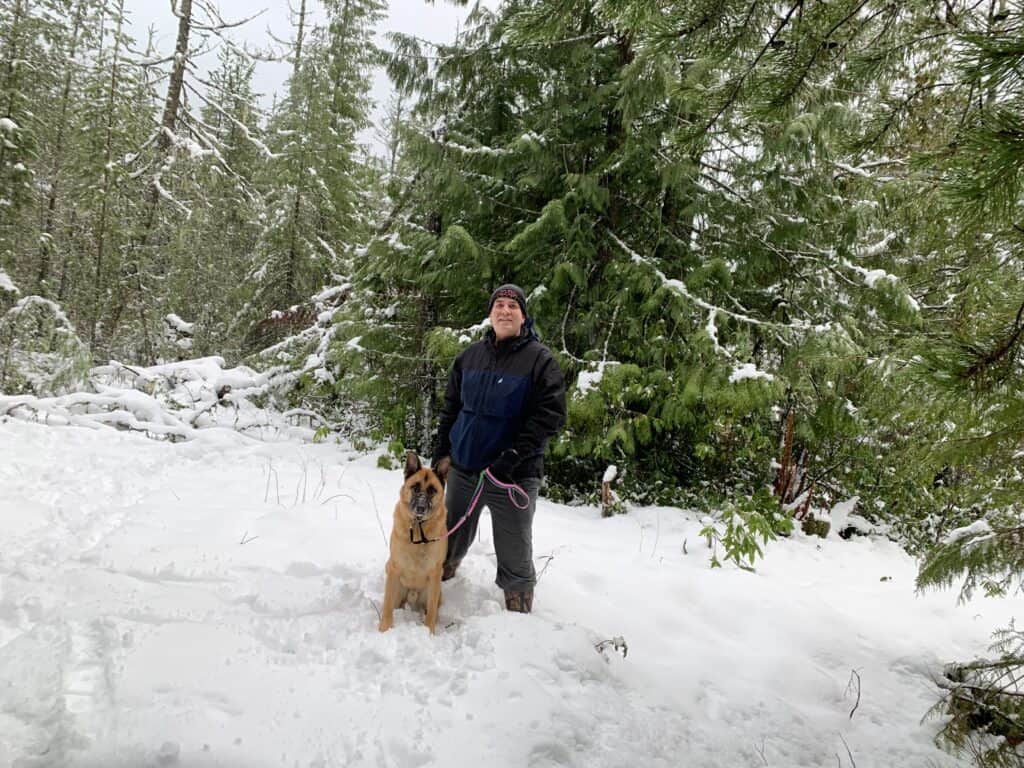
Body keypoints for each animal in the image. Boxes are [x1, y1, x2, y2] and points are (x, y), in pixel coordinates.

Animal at [378, 454, 450, 634]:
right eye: (415, 488)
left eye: (432, 490)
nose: (421, 508)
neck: (418, 527)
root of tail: (412, 594)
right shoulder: (394, 568)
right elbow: (387, 607)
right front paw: (384, 629)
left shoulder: (435, 573)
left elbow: (431, 613)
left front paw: (429, 633)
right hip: (396, 586)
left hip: (434, 591)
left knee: (431, 609)